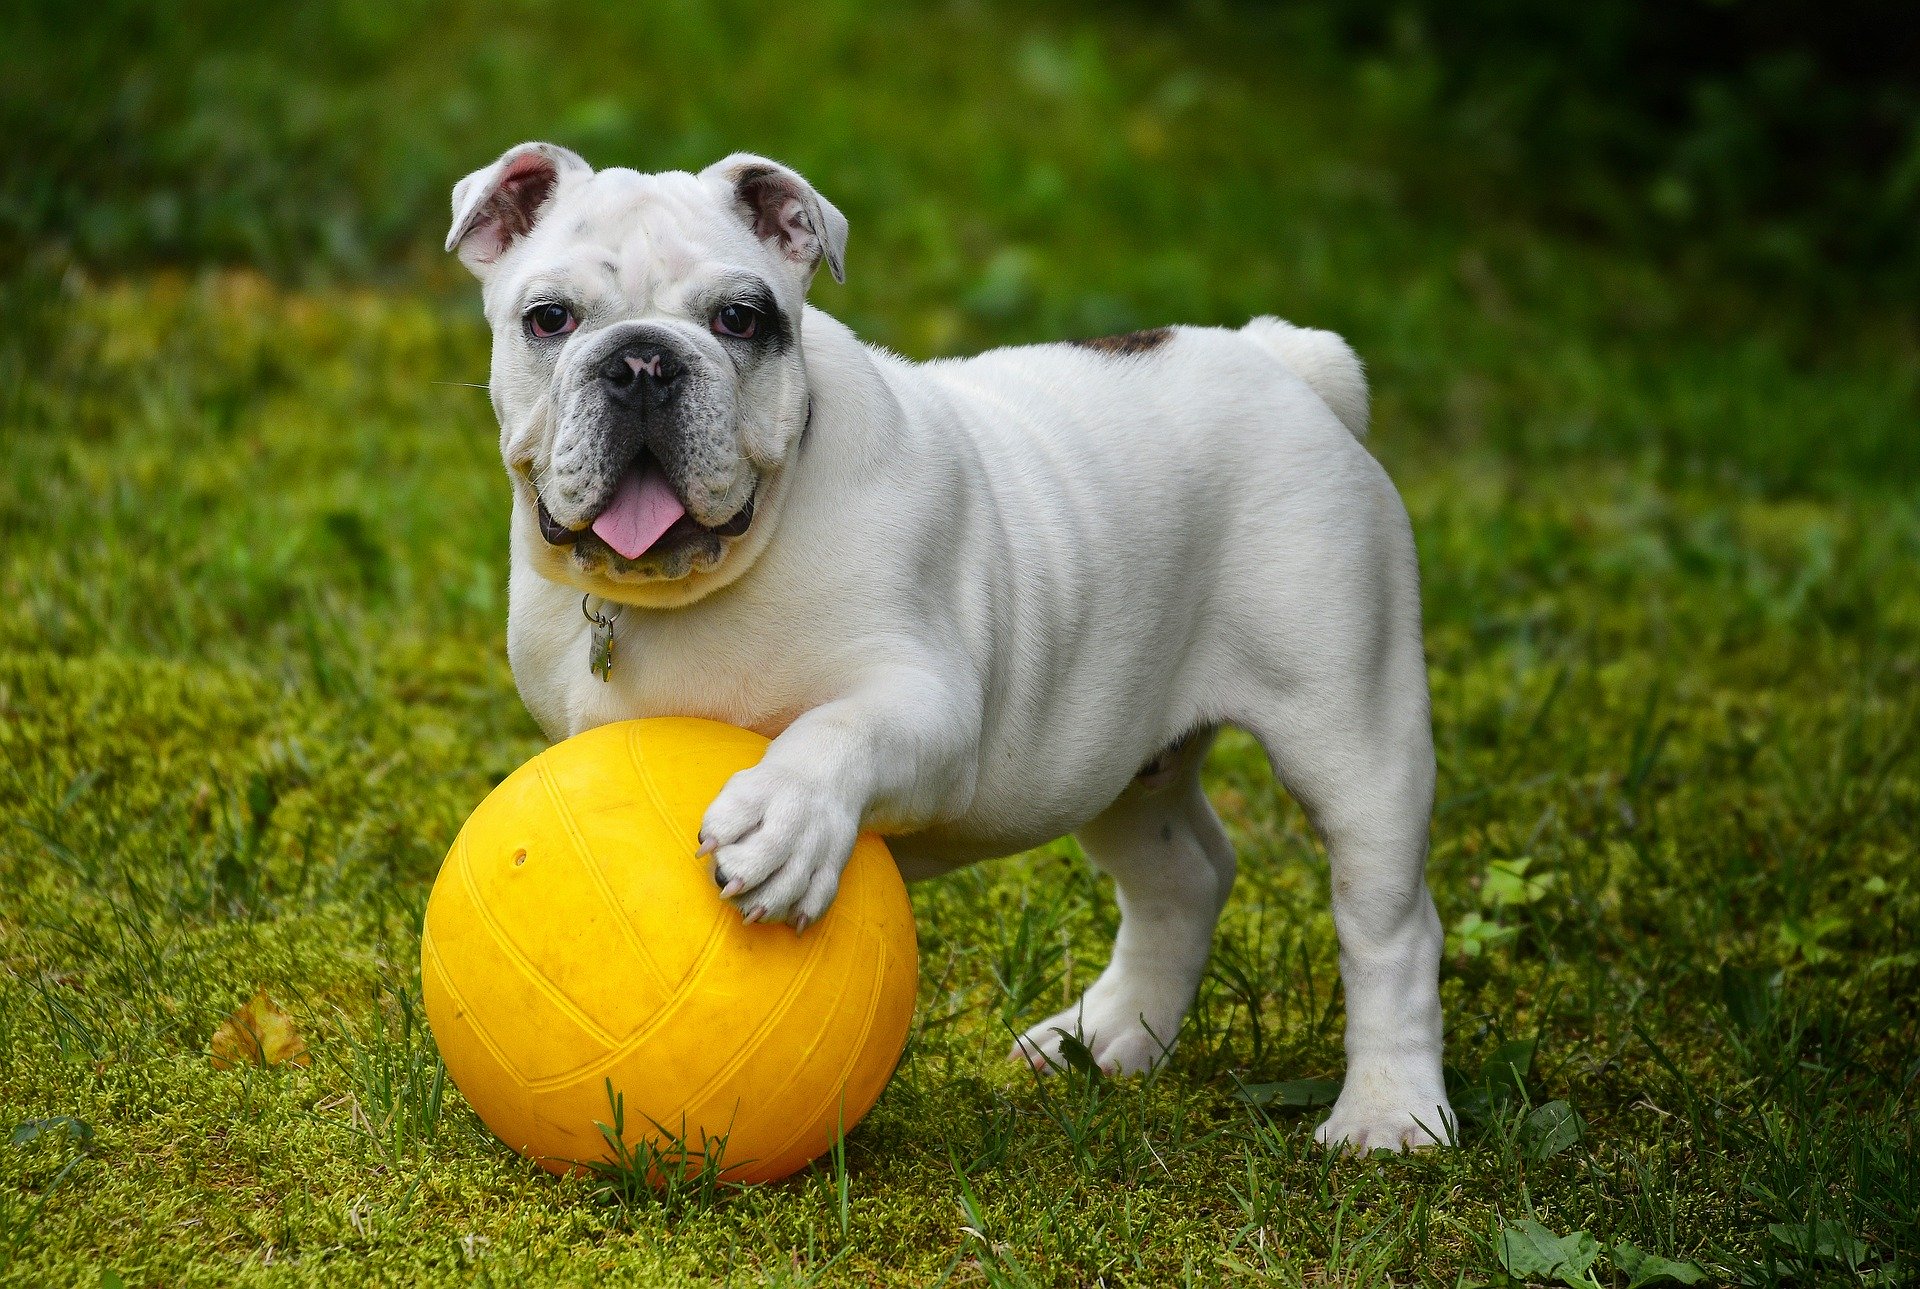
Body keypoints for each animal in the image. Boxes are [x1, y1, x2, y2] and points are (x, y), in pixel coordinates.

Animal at [441, 141, 1443, 1152]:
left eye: (740, 319)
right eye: (549, 318)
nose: (642, 360)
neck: (691, 587)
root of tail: (1282, 360)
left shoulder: (929, 706)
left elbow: (837, 730)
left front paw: (784, 821)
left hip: (1349, 729)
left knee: (1389, 924)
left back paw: (1389, 1112)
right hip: (1118, 757)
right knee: (1182, 877)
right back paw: (1109, 1036)